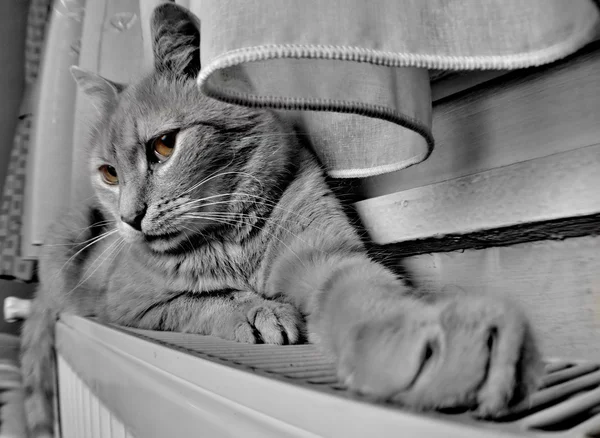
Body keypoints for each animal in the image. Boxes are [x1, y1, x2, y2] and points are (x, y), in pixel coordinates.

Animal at [21, 2, 540, 434]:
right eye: (109, 174)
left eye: (163, 146)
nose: (129, 218)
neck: (229, 240)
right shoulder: (129, 309)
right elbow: (201, 302)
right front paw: (256, 310)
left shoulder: (327, 257)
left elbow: (369, 299)